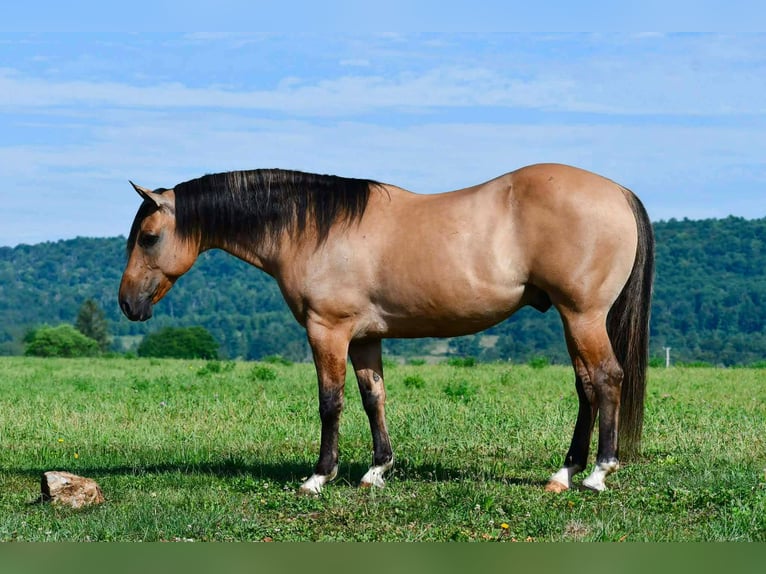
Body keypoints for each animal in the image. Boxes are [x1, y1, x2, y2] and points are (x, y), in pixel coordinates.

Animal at [119, 163, 654, 494]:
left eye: (148, 238)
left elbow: (330, 402)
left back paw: (598, 473)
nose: (127, 304)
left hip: (582, 314)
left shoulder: (327, 331)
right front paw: (377, 469)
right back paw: (564, 472)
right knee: (586, 387)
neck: (316, 230)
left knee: (606, 379)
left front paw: (319, 477)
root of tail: (618, 192)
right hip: (571, 317)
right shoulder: (365, 338)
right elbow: (373, 396)